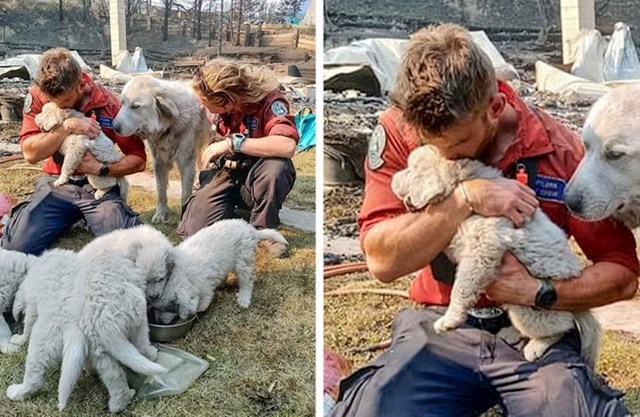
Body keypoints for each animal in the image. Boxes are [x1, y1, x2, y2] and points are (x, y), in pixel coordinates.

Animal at [6, 224, 175, 410]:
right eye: (150, 280)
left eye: (160, 278)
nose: (153, 297)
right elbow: (28, 322)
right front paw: (20, 337)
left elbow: (28, 321)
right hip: (134, 316)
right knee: (140, 343)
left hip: (92, 347)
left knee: (111, 375)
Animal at [112, 76, 208, 223]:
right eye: (122, 103)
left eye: (135, 106)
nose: (114, 127)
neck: (168, 126)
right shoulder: (159, 162)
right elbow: (161, 191)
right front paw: (160, 214)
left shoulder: (185, 162)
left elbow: (185, 194)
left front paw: (183, 216)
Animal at [149, 218, 286, 322]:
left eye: (168, 309)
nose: (159, 321)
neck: (182, 274)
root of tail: (250, 229)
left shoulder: (204, 290)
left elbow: (201, 304)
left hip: (243, 259)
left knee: (247, 281)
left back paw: (244, 298)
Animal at [392, 144, 604, 364]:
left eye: (410, 170)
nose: (393, 179)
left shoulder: (482, 248)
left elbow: (461, 288)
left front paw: (450, 319)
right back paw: (511, 333)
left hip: (528, 310)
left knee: (561, 327)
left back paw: (535, 347)